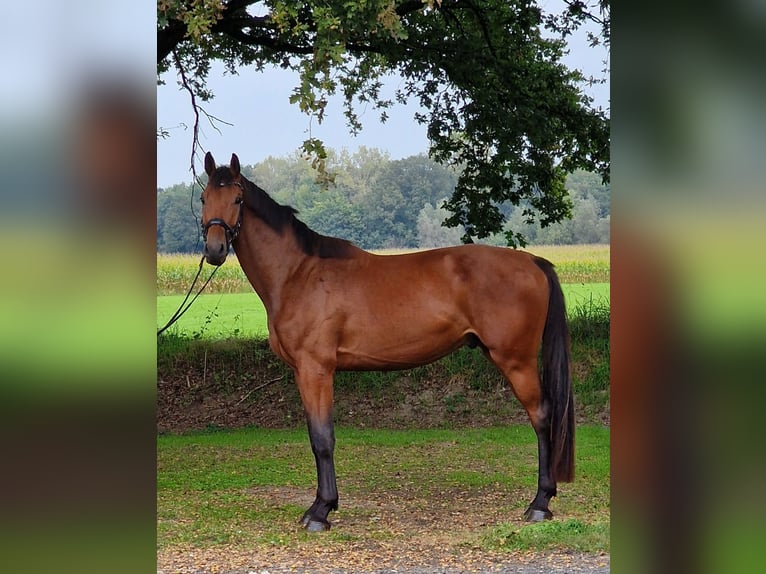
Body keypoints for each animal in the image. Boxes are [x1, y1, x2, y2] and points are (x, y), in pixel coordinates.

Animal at [201, 154, 572, 536]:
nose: (214, 250)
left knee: (542, 416)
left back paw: (540, 504)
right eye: (203, 199)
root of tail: (532, 261)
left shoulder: (316, 370)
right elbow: (316, 437)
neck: (298, 274)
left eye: (237, 200)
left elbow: (323, 439)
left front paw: (321, 510)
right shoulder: (304, 373)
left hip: (517, 361)